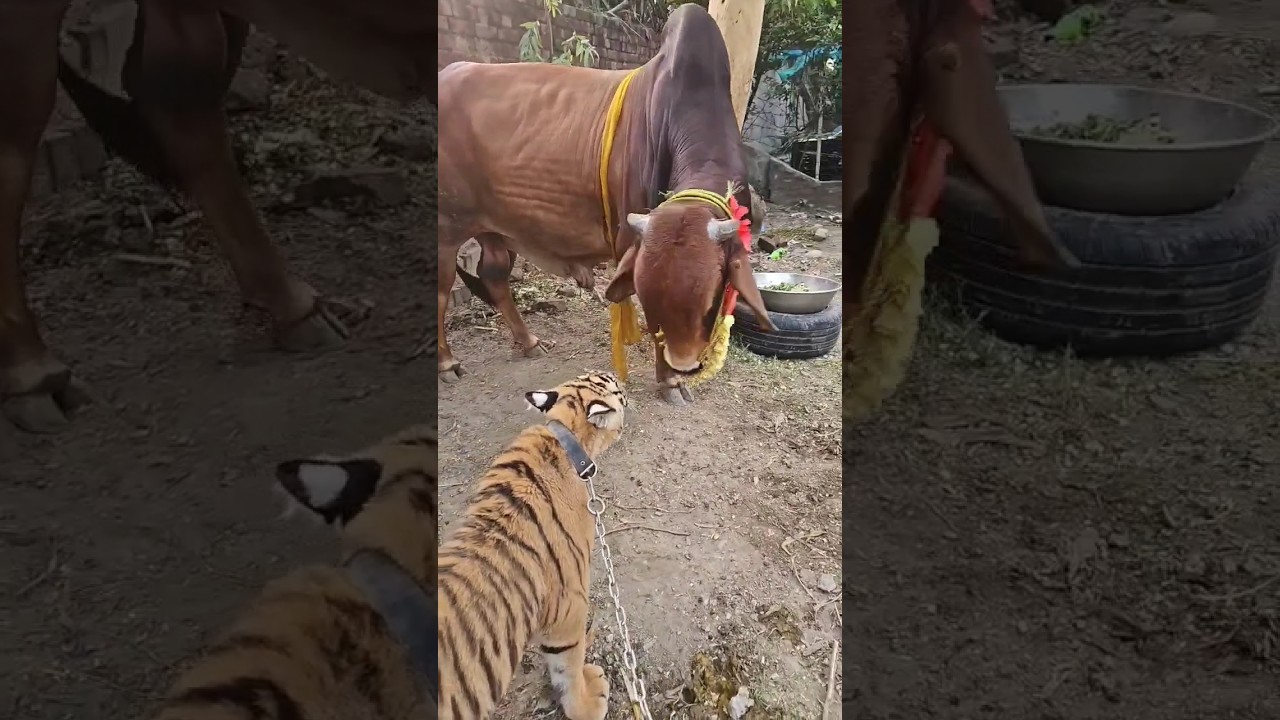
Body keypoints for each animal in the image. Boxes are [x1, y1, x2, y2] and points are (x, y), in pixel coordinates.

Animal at [438, 3, 772, 406]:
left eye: (710, 301)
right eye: (653, 302)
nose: (683, 365)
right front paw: (669, 383)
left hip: (492, 226)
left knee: (494, 277)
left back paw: (529, 341)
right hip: (446, 227)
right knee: (441, 292)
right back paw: (447, 363)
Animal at [439, 370, 629, 720]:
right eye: (613, 386)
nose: (617, 376)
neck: (563, 436)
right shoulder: (569, 606)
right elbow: (567, 665)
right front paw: (587, 703)